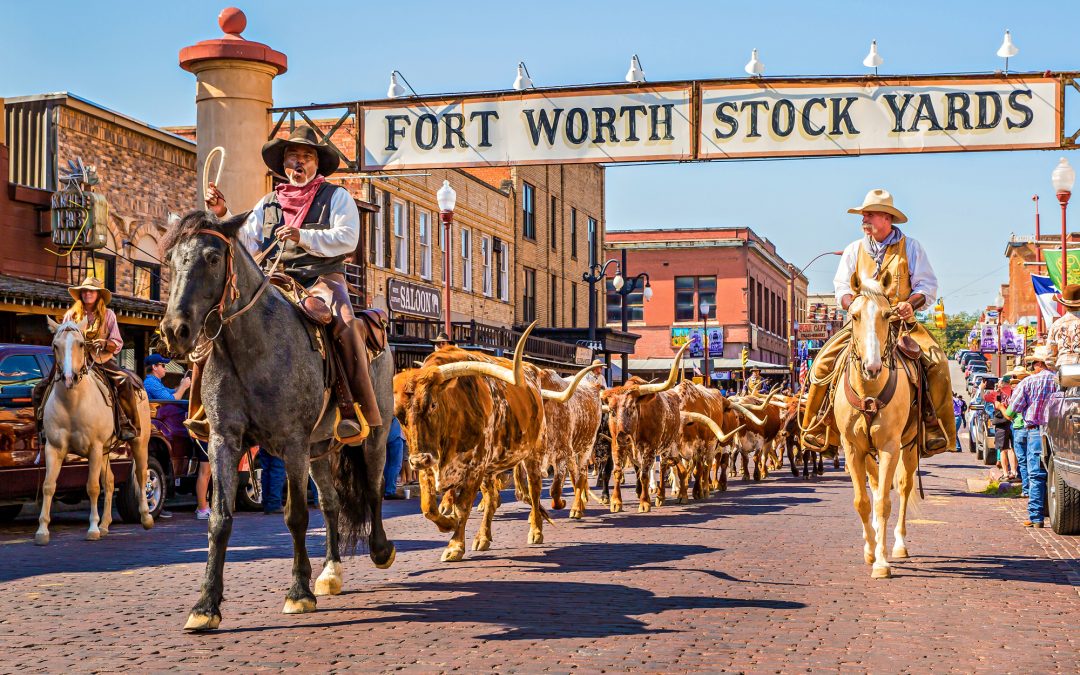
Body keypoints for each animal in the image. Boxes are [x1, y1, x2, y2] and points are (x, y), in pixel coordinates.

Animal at [35, 317, 153, 544]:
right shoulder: (53, 448)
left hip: (139, 442)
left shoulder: (94, 448)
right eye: (55, 346)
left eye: (81, 344)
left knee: (141, 475)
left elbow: (92, 487)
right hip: (106, 451)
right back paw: (106, 524)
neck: (73, 403)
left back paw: (145, 517)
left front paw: (92, 529)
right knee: (110, 481)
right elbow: (48, 485)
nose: (69, 378)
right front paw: (42, 531)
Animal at [159, 210, 397, 630]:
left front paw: (298, 592)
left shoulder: (292, 443)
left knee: (373, 487)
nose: (175, 331)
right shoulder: (224, 442)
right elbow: (219, 520)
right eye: (170, 260)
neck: (250, 348)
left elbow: (296, 515)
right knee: (332, 503)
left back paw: (380, 550)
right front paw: (206, 605)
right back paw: (331, 572)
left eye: (213, 258)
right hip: (320, 448)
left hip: (374, 435)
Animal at [833, 276, 920, 574]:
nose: (872, 367)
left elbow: (883, 501)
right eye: (854, 316)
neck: (868, 391)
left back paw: (900, 544)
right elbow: (862, 501)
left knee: (903, 487)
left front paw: (881, 562)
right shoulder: (852, 448)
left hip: (910, 446)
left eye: (887, 315)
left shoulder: (889, 446)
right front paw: (870, 550)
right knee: (873, 484)